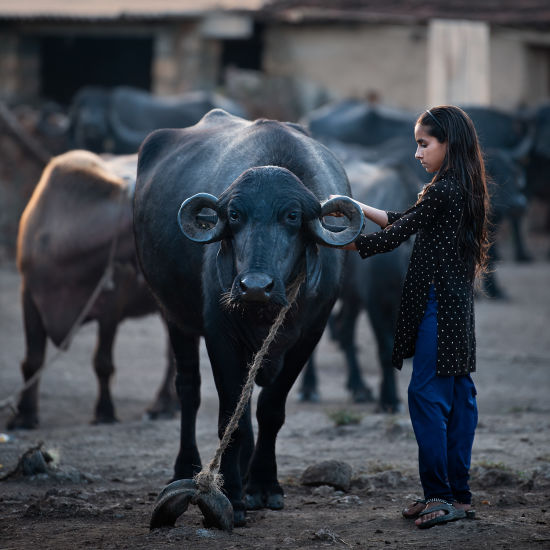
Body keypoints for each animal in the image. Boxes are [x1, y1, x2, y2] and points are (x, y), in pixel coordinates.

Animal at [134, 110, 366, 528]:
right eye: (235, 215)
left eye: (292, 216)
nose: (254, 286)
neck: (265, 308)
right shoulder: (219, 334)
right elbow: (233, 419)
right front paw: (233, 497)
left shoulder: (310, 334)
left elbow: (270, 410)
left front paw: (264, 486)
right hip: (173, 315)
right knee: (189, 390)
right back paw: (186, 466)